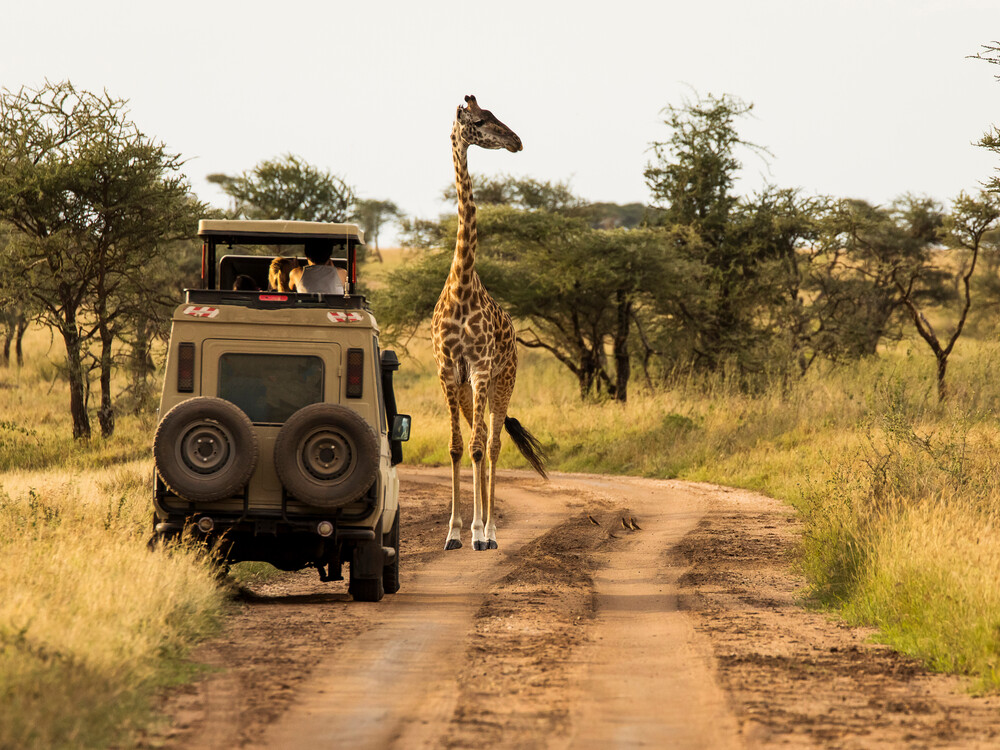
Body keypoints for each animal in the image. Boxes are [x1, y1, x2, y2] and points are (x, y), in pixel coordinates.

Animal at [431, 94, 548, 552]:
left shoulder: (481, 369)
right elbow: (456, 446)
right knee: (477, 437)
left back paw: (492, 531)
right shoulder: (450, 371)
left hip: (504, 380)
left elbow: (481, 447)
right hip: (469, 389)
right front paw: (453, 533)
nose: (516, 141)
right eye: (480, 121)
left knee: (494, 443)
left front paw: (479, 532)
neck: (462, 283)